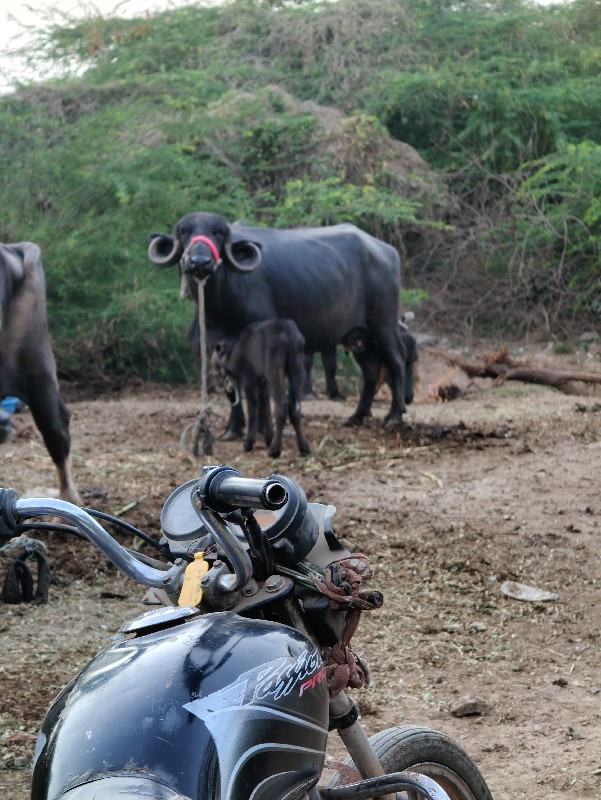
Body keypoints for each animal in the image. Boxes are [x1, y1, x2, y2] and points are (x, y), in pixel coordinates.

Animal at [149, 211, 408, 432]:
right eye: (185, 231)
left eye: (218, 232)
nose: (200, 262)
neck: (224, 301)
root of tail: (388, 251)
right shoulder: (217, 343)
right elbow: (231, 386)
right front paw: (233, 428)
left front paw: (262, 429)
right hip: (361, 336)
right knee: (371, 371)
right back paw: (357, 416)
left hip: (384, 325)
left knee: (396, 361)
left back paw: (394, 415)